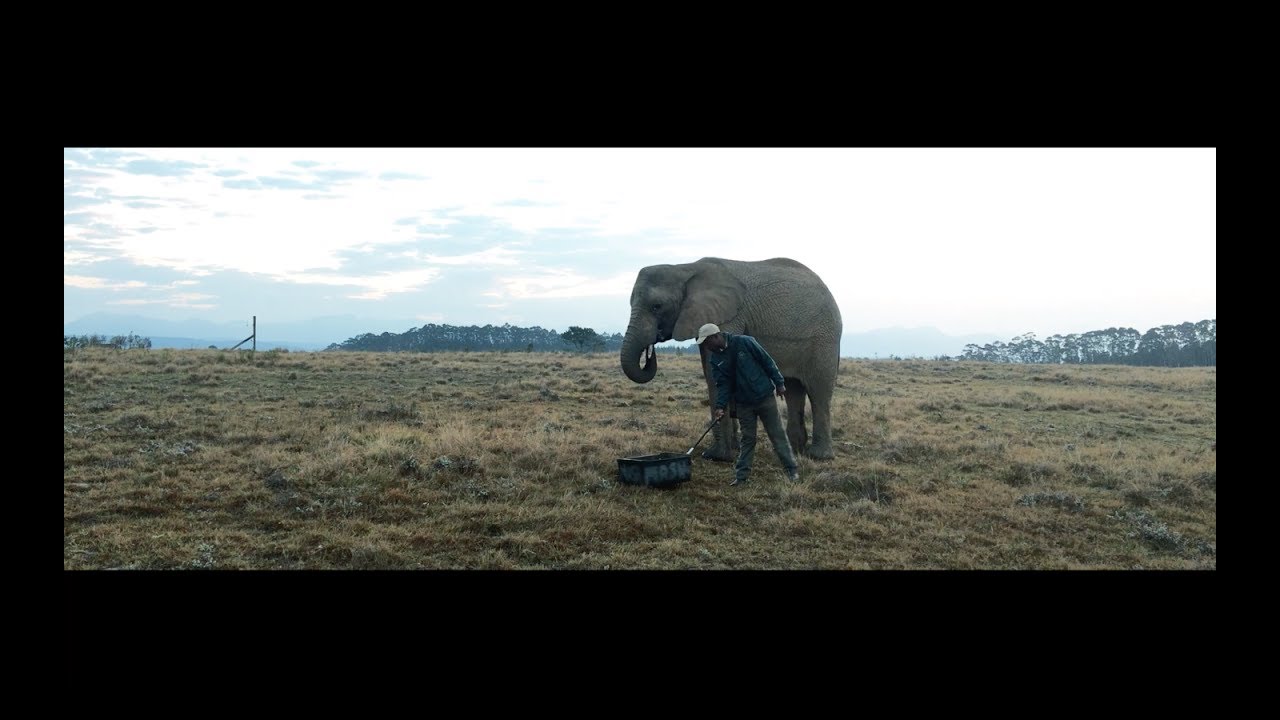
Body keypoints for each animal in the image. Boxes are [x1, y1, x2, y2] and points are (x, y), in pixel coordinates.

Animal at [620, 256, 843, 461]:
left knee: (818, 392)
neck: (685, 268)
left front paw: (717, 455)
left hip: (824, 339)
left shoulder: (730, 317)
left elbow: (716, 376)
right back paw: (794, 450)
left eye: (657, 306)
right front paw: (733, 449)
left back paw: (819, 456)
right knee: (793, 389)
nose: (650, 350)